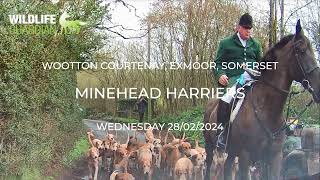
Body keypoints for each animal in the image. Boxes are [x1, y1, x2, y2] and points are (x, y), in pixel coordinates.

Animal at [204, 20, 320, 180]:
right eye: (300, 50)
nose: (319, 89)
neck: (266, 108)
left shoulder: (274, 156)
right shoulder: (245, 156)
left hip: (232, 152)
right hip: (210, 146)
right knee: (209, 165)